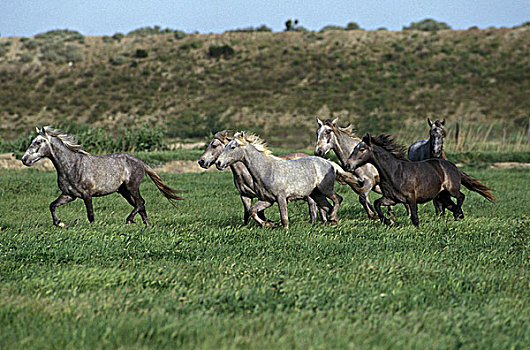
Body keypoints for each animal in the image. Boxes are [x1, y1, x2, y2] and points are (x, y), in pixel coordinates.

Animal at [21, 126, 183, 227]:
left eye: (39, 142)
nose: (24, 159)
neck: (72, 166)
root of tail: (141, 163)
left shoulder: (87, 194)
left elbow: (90, 215)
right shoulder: (69, 195)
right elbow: (52, 205)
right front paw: (59, 223)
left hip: (132, 187)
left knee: (140, 202)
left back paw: (129, 220)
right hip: (124, 191)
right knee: (140, 205)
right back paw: (146, 225)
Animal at [212, 133, 352, 228]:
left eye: (232, 147)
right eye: (226, 146)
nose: (218, 163)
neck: (267, 170)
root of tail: (329, 162)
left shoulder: (281, 197)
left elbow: (284, 217)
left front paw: (284, 229)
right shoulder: (267, 200)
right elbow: (252, 210)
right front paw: (268, 224)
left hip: (325, 189)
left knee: (338, 199)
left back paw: (332, 218)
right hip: (316, 194)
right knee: (328, 206)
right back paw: (333, 221)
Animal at [344, 134, 492, 227]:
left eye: (362, 149)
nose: (347, 165)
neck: (395, 172)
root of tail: (453, 166)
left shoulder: (411, 198)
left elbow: (414, 217)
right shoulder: (392, 199)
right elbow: (376, 203)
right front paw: (388, 221)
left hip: (451, 190)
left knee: (461, 197)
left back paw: (456, 215)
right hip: (442, 196)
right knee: (453, 206)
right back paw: (458, 217)